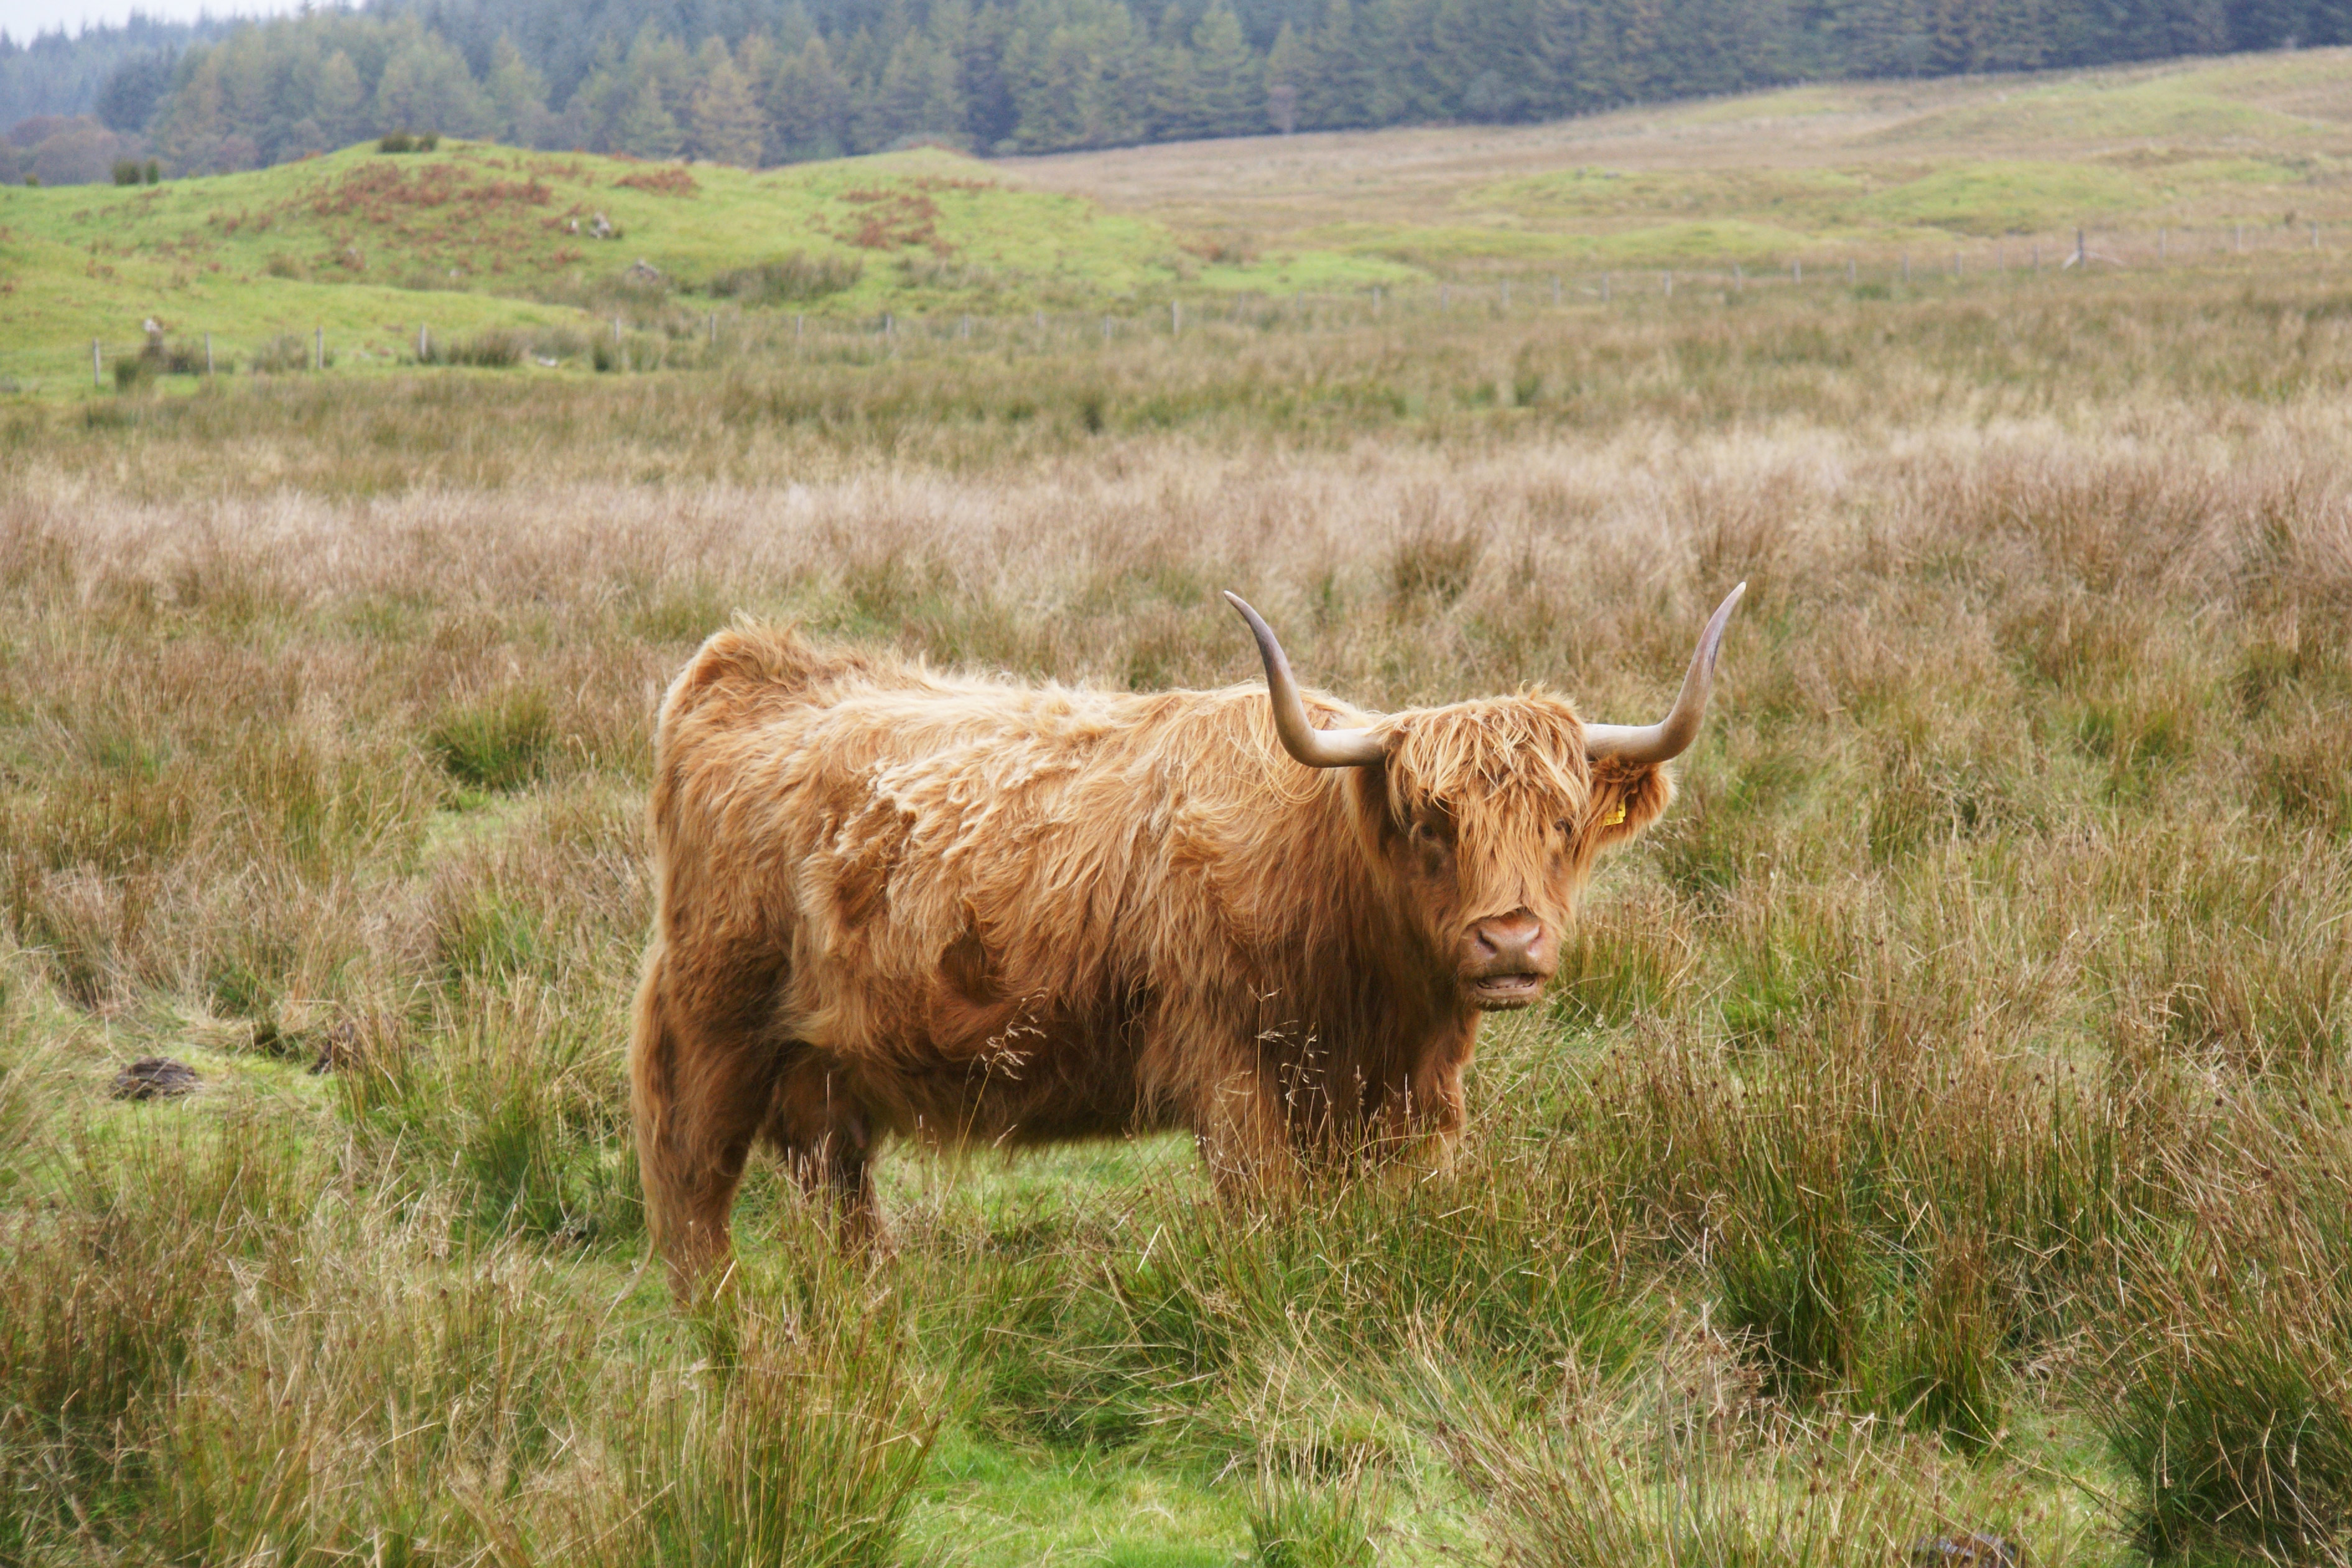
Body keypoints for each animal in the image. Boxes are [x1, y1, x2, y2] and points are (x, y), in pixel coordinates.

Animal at [630, 584, 1745, 1291]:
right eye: (1431, 820)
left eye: (1561, 825)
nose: (1509, 943)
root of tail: (741, 666)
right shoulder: (1234, 1078)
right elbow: (1270, 1221)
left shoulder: (1392, 1105)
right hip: (718, 1020)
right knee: (692, 1177)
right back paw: (724, 1328)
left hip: (823, 1066)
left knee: (834, 1182)